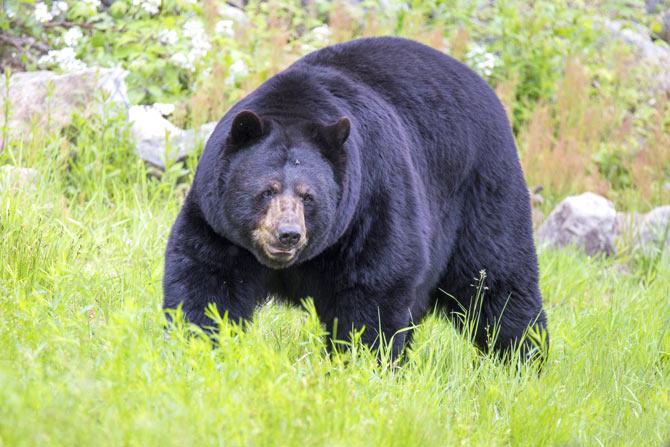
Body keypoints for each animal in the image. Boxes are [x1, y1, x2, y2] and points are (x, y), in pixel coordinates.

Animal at [164, 36, 552, 362]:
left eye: (309, 196)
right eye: (266, 190)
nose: (288, 234)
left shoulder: (371, 203)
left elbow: (376, 287)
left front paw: (358, 362)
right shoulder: (218, 222)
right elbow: (207, 278)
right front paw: (197, 344)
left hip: (484, 192)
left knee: (496, 281)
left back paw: (523, 358)